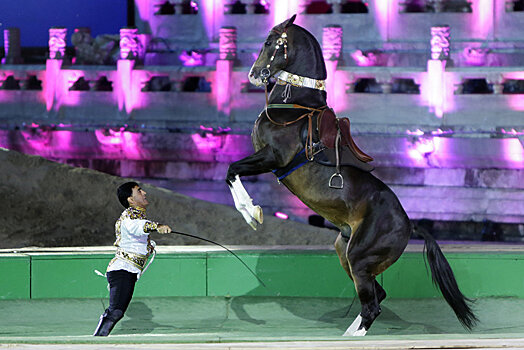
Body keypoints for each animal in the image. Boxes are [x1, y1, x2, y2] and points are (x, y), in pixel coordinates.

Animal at [223, 14, 476, 336]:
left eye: (269, 42)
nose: (255, 75)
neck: (293, 106)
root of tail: (410, 225)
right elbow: (231, 171)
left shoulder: (273, 158)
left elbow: (231, 170)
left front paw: (252, 214)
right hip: (345, 249)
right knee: (376, 296)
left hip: (359, 256)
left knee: (372, 305)